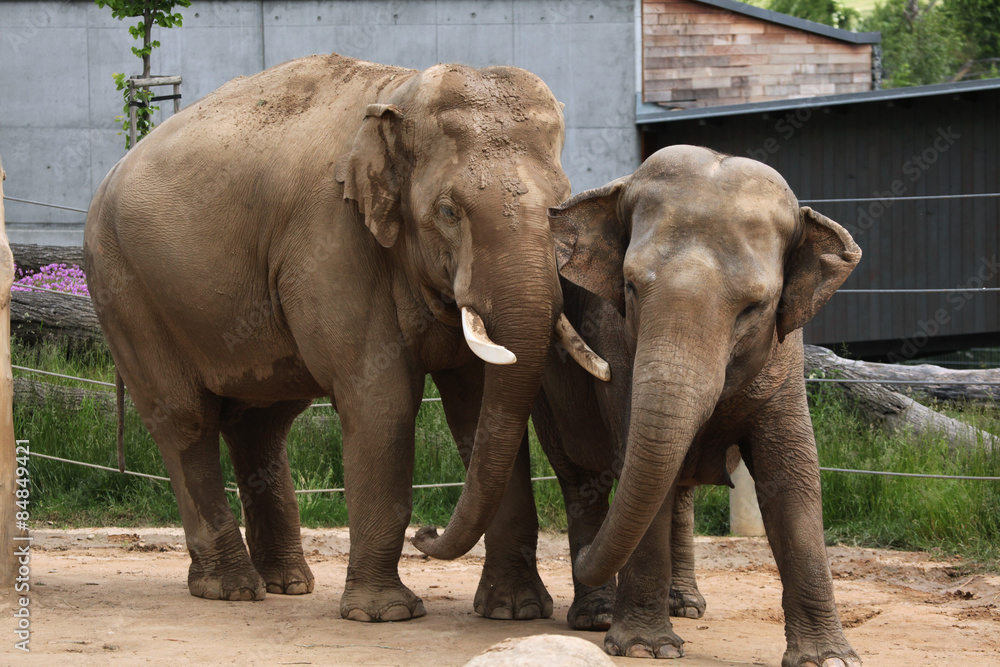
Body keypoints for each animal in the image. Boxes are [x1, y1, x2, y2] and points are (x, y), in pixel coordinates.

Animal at [83, 53, 607, 622]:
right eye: (448, 212)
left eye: (560, 208)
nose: (428, 530)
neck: (396, 94)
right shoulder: (331, 241)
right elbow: (382, 402)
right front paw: (387, 614)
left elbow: (477, 406)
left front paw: (517, 612)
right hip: (126, 290)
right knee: (186, 421)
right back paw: (233, 589)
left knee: (260, 424)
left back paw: (287, 584)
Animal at [418, 144, 862, 664]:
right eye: (629, 287)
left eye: (755, 308)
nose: (423, 531)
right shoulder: (615, 342)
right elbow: (638, 458)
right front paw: (645, 648)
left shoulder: (785, 357)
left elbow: (792, 475)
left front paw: (829, 658)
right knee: (581, 477)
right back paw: (598, 614)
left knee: (679, 489)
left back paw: (683, 604)